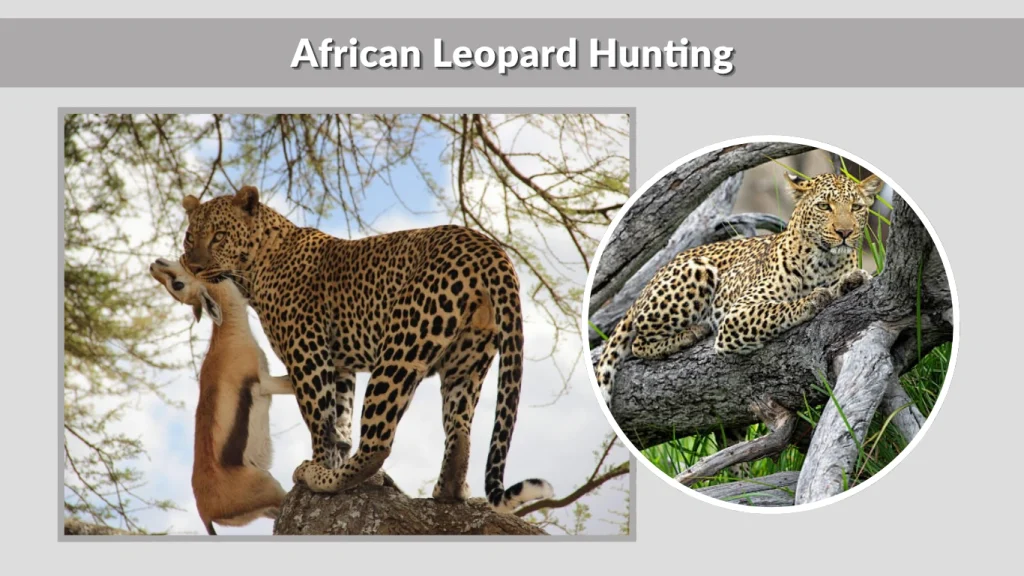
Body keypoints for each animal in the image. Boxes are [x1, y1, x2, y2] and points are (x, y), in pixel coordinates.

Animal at [178, 185, 554, 514]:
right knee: (459, 430)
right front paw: (334, 457)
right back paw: (448, 491)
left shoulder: (307, 354)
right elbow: (339, 421)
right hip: (469, 359)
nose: (193, 265)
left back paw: (324, 477)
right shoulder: (339, 365)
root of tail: (490, 248)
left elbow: (320, 422)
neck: (255, 267)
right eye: (189, 237)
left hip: (401, 348)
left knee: (377, 443)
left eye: (219, 235)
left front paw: (321, 466)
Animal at [596, 171, 885, 406]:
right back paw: (691, 333)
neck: (825, 261)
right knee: (639, 343)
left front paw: (849, 281)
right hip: (696, 271)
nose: (845, 232)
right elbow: (777, 309)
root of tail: (647, 285)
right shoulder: (737, 314)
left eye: (856, 207)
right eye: (824, 206)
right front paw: (811, 300)